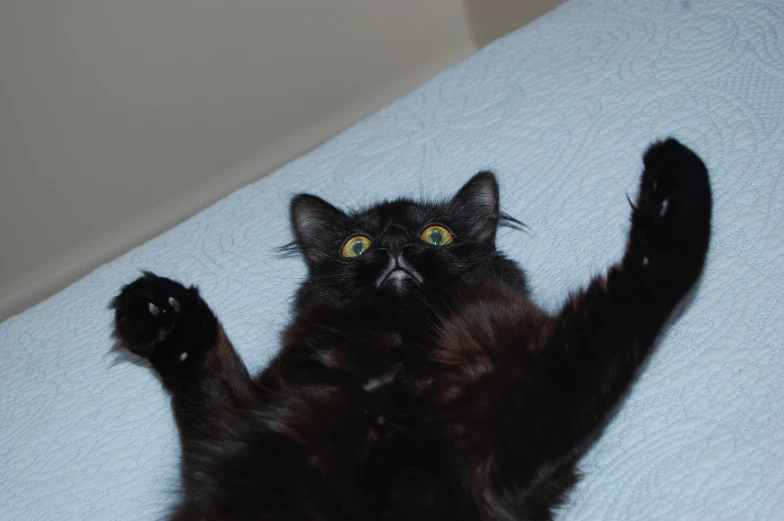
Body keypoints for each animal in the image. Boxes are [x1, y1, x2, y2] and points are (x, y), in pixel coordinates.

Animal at [112, 136, 716, 516]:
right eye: (358, 246)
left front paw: (675, 185)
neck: (395, 346)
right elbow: (206, 380)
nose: (397, 246)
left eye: (435, 235)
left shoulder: (508, 427)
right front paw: (161, 311)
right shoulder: (238, 435)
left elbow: (629, 303)